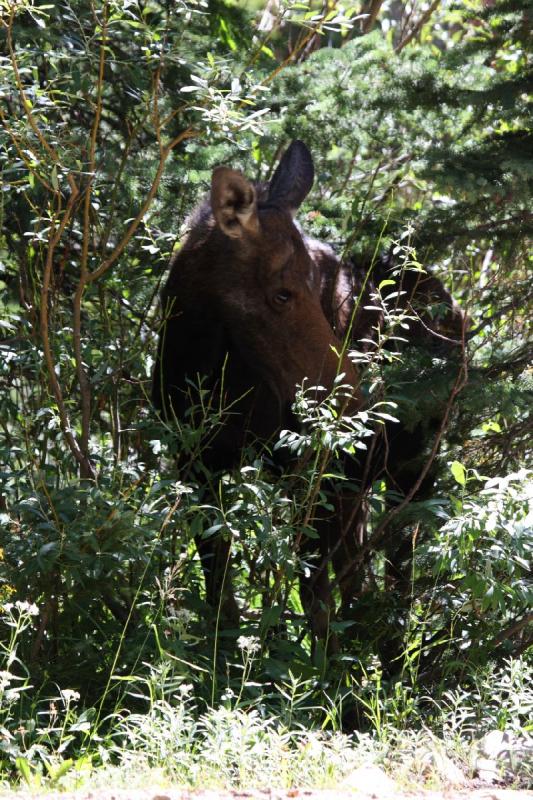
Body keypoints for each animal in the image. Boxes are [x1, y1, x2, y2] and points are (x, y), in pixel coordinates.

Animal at [152, 141, 464, 660]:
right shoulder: (195, 465)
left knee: (398, 572)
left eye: (316, 278)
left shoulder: (309, 471)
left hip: (413, 467)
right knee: (359, 572)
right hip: (358, 480)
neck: (198, 372)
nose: (351, 403)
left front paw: (326, 680)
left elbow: (314, 602)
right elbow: (221, 597)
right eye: (281, 293)